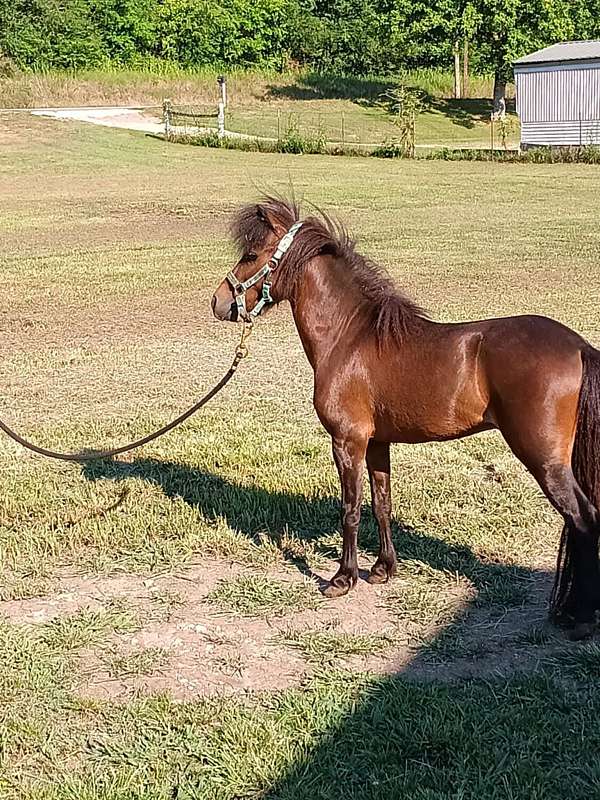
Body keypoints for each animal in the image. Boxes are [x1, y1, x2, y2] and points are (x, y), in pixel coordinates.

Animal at [211, 196, 600, 639]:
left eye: (251, 255)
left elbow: (350, 508)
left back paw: (580, 617)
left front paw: (342, 579)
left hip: (544, 459)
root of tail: (578, 346)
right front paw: (383, 569)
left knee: (583, 519)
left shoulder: (347, 441)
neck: (349, 337)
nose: (218, 302)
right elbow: (382, 503)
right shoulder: (377, 443)